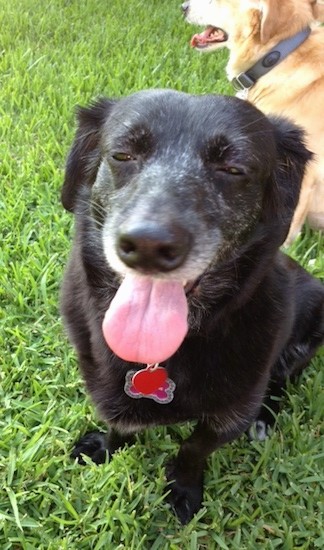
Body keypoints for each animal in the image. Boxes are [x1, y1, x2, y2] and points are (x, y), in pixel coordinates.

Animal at [60, 90, 324, 528]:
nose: (148, 245)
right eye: (122, 155)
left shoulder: (231, 414)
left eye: (233, 168)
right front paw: (106, 448)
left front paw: (182, 489)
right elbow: (119, 425)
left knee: (282, 381)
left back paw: (266, 419)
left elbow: (193, 448)